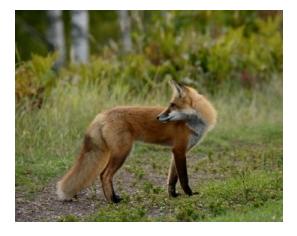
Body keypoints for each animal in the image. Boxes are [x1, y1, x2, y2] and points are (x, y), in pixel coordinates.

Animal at [56, 80, 216, 203]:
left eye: (172, 105)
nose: (158, 117)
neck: (193, 122)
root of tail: (102, 114)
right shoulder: (179, 150)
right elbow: (184, 177)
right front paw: (189, 194)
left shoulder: (178, 151)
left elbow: (172, 178)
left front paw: (173, 195)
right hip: (122, 152)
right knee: (104, 175)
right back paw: (112, 200)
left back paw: (113, 198)